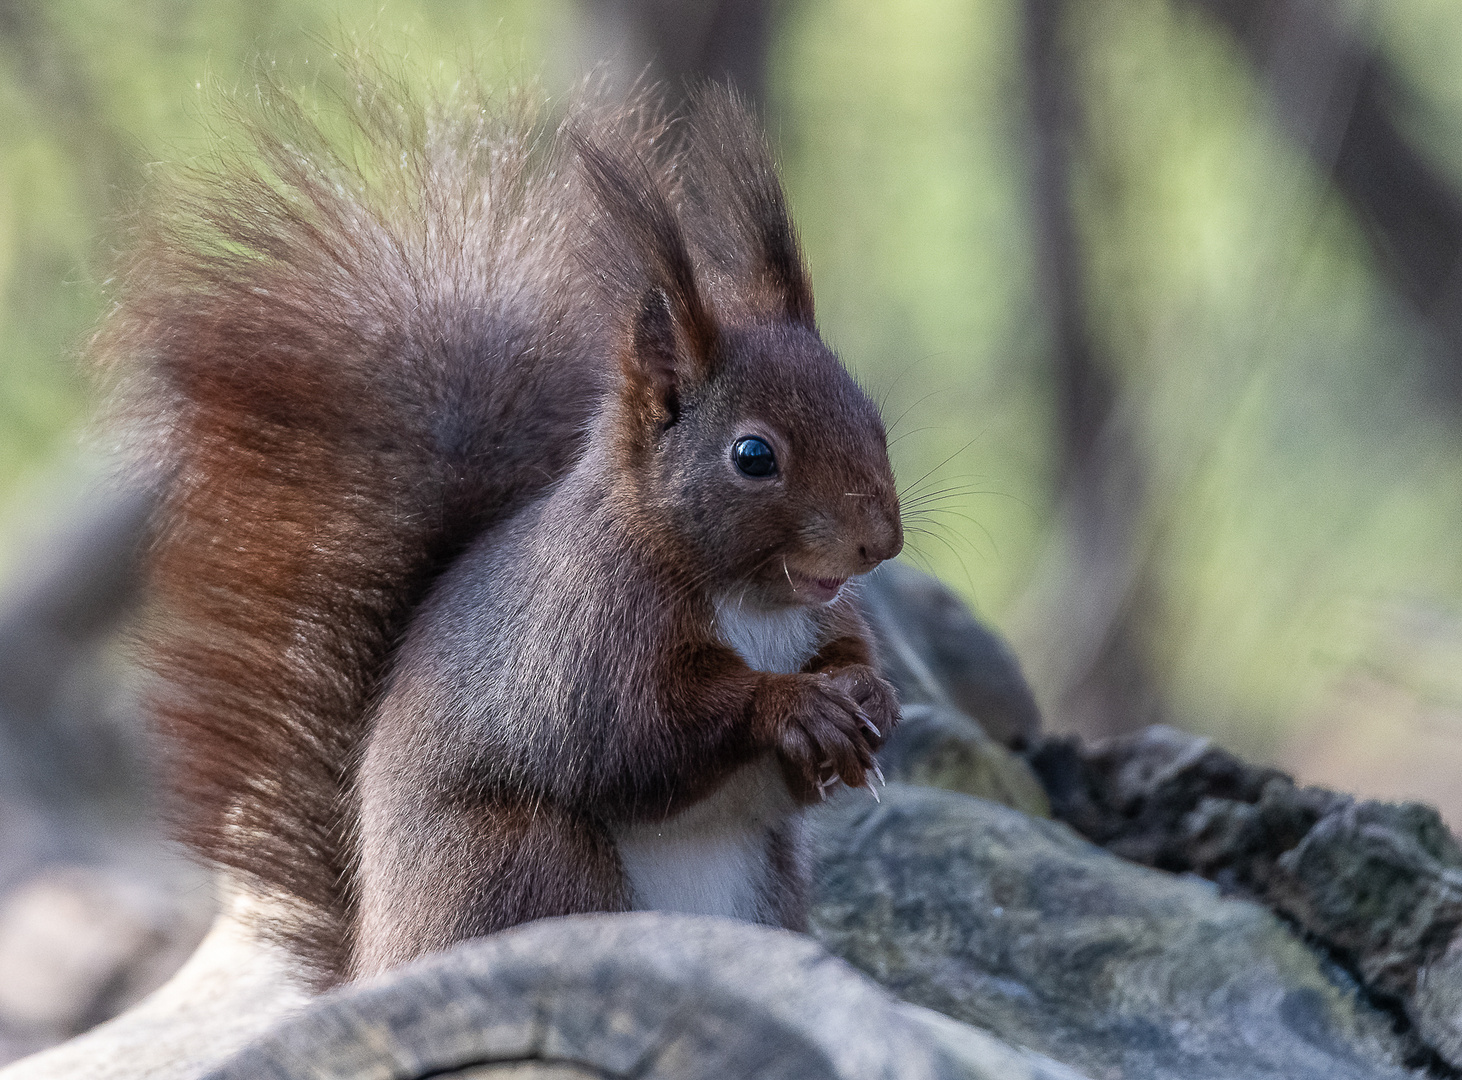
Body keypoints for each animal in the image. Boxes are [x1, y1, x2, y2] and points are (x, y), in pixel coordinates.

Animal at [100, 73, 900, 987]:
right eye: (754, 454)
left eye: (873, 417)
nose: (880, 542)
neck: (752, 602)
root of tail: (376, 959)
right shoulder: (584, 643)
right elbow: (636, 740)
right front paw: (794, 701)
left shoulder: (821, 618)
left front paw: (869, 694)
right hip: (522, 858)